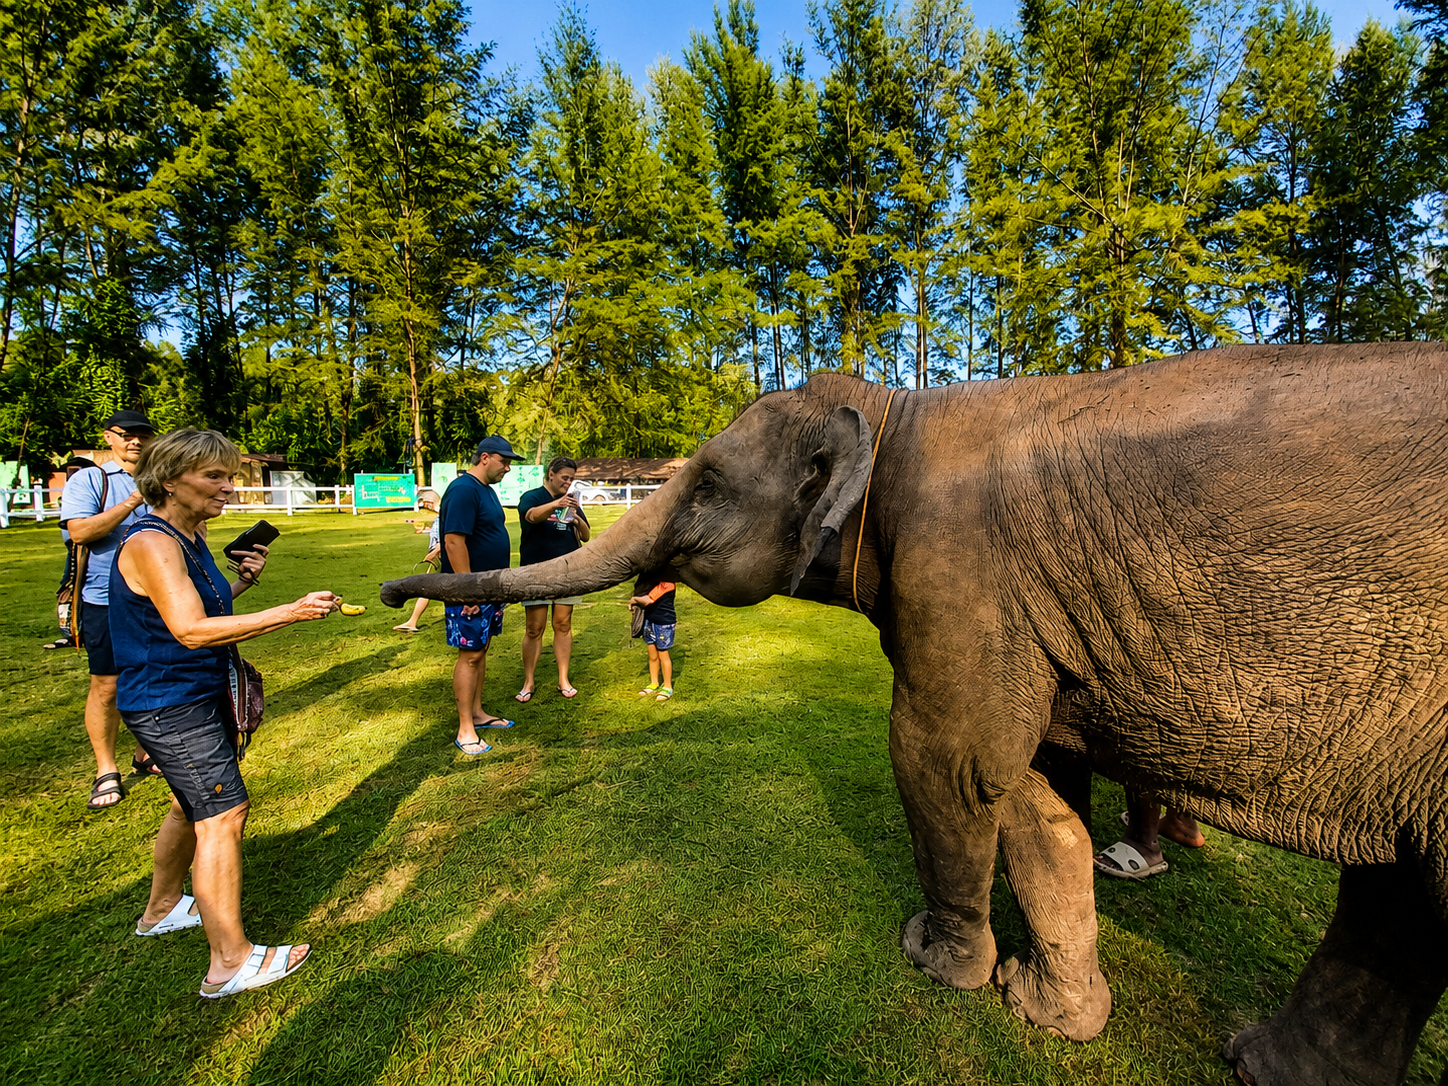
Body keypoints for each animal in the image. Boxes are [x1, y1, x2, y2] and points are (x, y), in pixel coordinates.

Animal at [382, 343, 1448, 1086]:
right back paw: (1261, 1064)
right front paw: (1047, 1010)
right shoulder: (1033, 613)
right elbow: (1037, 797)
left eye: (709, 483)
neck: (896, 411)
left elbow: (949, 766)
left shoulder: (962, 572)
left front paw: (939, 966)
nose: (393, 593)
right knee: (1398, 902)